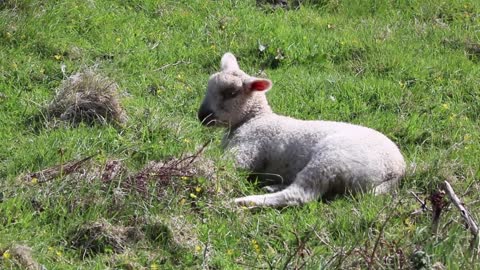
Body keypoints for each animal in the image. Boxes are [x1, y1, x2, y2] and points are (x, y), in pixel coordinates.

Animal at [197, 52, 406, 207]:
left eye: (231, 93)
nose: (202, 115)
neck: (254, 118)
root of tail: (397, 171)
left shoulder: (249, 146)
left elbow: (225, 164)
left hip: (332, 160)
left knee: (300, 194)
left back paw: (245, 201)